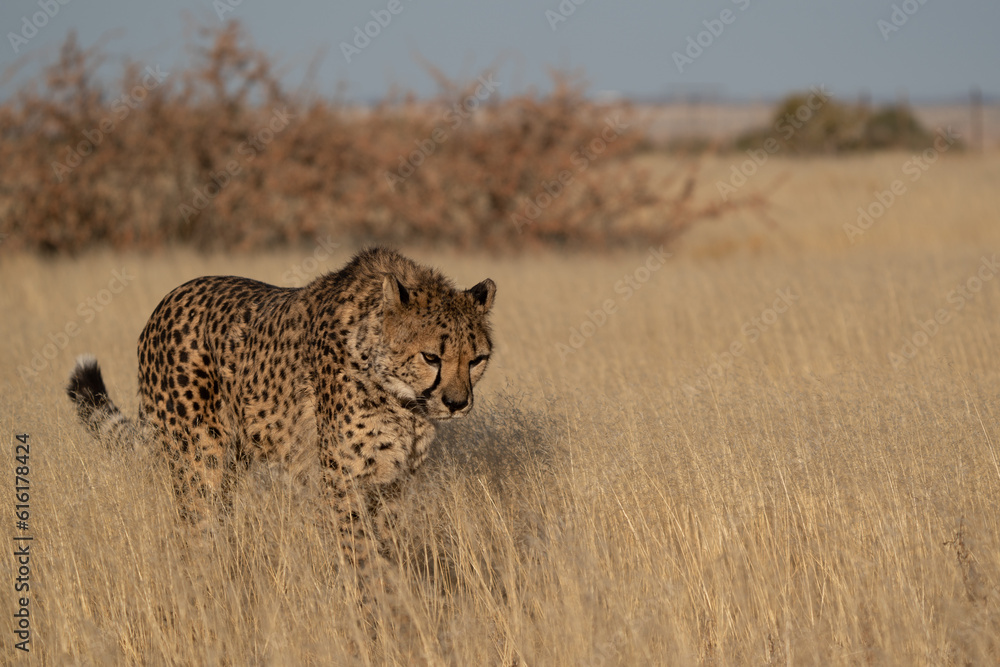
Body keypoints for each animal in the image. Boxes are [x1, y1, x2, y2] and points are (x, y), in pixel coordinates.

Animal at [67, 247, 496, 571]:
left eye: (476, 360)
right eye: (431, 357)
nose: (457, 403)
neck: (401, 399)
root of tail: (168, 300)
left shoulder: (394, 484)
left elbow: (387, 549)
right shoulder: (342, 481)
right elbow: (362, 555)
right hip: (199, 460)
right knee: (195, 527)